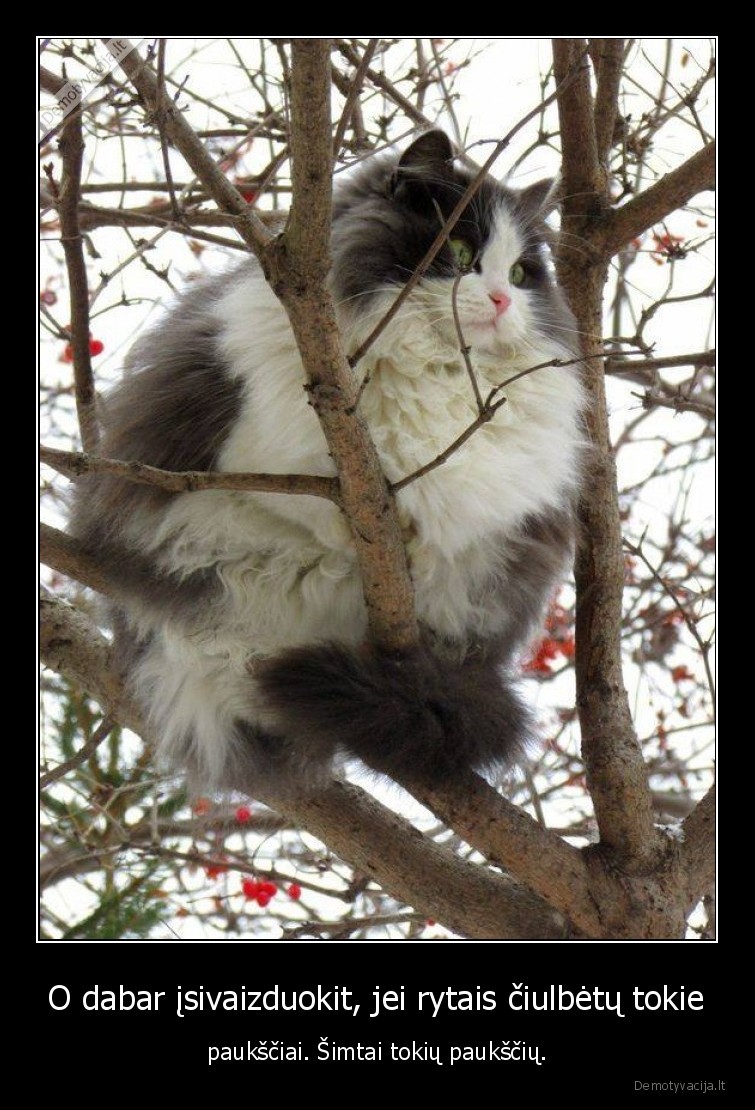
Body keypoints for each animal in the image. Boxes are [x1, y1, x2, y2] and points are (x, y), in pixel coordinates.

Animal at [70, 132, 586, 799]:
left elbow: (447, 521)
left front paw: (414, 543)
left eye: (522, 275)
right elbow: (308, 499)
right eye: (461, 252)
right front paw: (366, 529)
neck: (435, 364)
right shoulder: (255, 446)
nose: (499, 300)